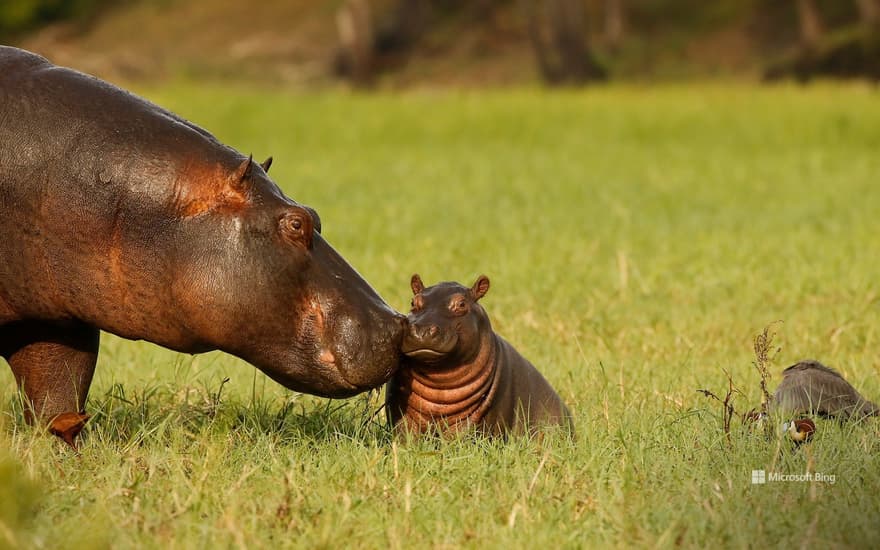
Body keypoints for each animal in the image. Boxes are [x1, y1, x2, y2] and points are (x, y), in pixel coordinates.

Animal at [384, 276, 572, 440]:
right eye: (413, 302)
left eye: (461, 304)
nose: (421, 330)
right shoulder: (400, 410)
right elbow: (404, 435)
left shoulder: (474, 418)